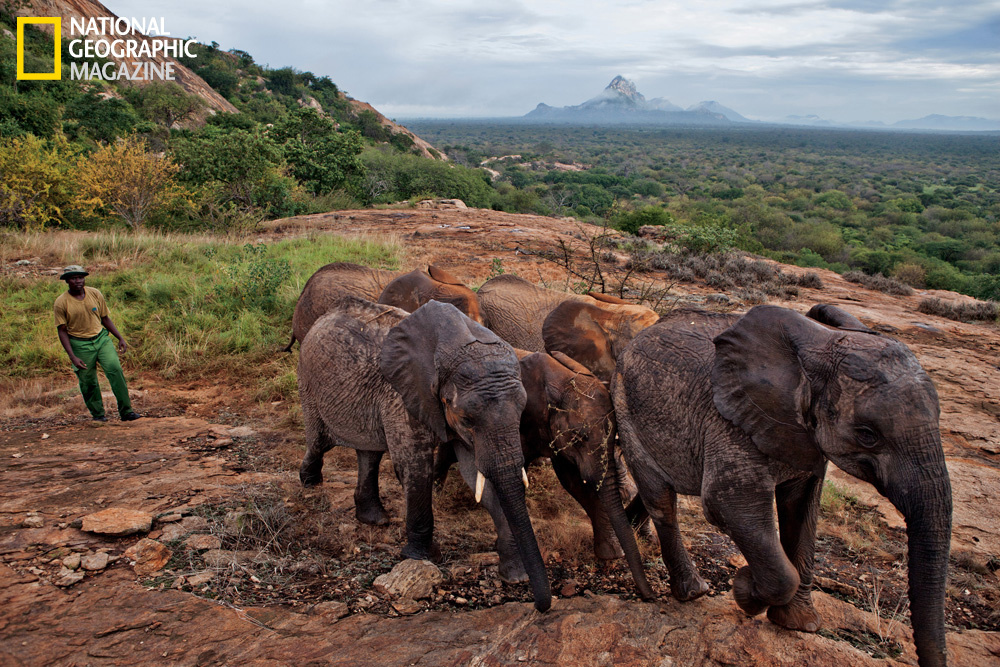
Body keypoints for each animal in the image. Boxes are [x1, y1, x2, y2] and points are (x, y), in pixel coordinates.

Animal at [298, 297, 551, 611]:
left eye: (521, 413)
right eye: (467, 419)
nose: (541, 606)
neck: (456, 342)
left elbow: (479, 475)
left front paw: (515, 575)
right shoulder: (402, 394)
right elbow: (415, 467)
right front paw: (422, 558)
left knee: (369, 452)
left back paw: (374, 519)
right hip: (309, 380)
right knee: (319, 441)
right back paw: (310, 481)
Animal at [611, 304, 952, 667]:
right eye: (867, 435)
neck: (818, 348)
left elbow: (800, 510)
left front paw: (798, 625)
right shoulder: (731, 419)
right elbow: (729, 505)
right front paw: (745, 590)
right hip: (625, 404)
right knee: (661, 496)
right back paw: (693, 592)